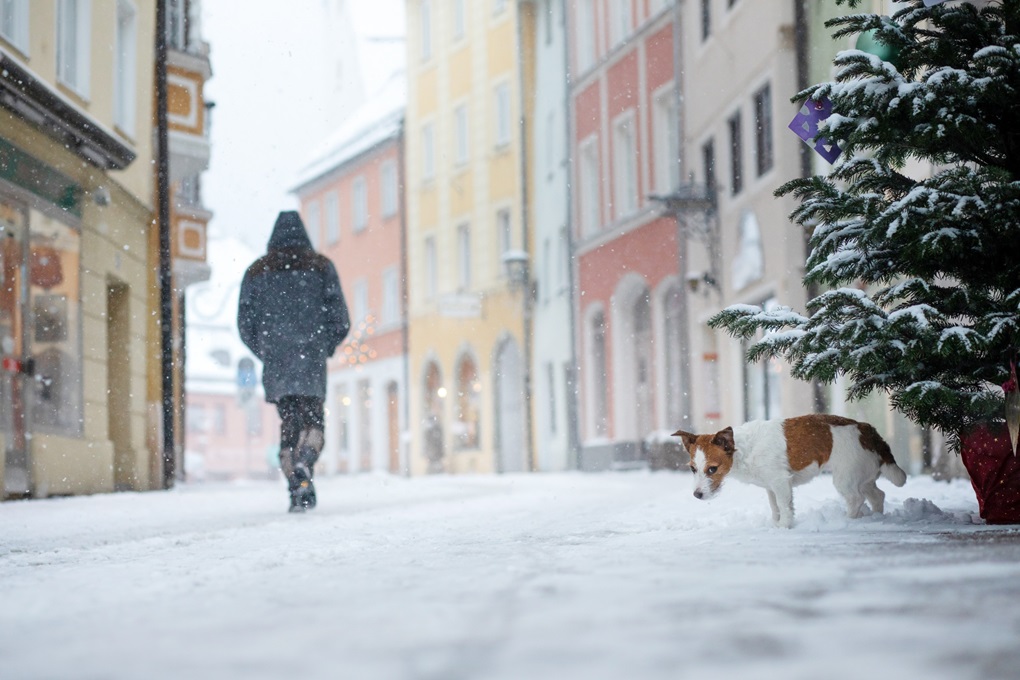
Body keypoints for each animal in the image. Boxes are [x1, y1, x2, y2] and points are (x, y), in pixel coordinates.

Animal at [677, 411, 909, 530]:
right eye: (693, 469)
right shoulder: (770, 487)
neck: (743, 449)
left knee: (856, 498)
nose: (697, 495)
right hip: (865, 476)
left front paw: (784, 527)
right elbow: (774, 507)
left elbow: (784, 506)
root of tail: (868, 431)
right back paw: (876, 517)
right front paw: (775, 524)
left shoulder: (781, 482)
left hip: (846, 478)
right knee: (878, 495)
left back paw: (849, 520)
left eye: (712, 469)